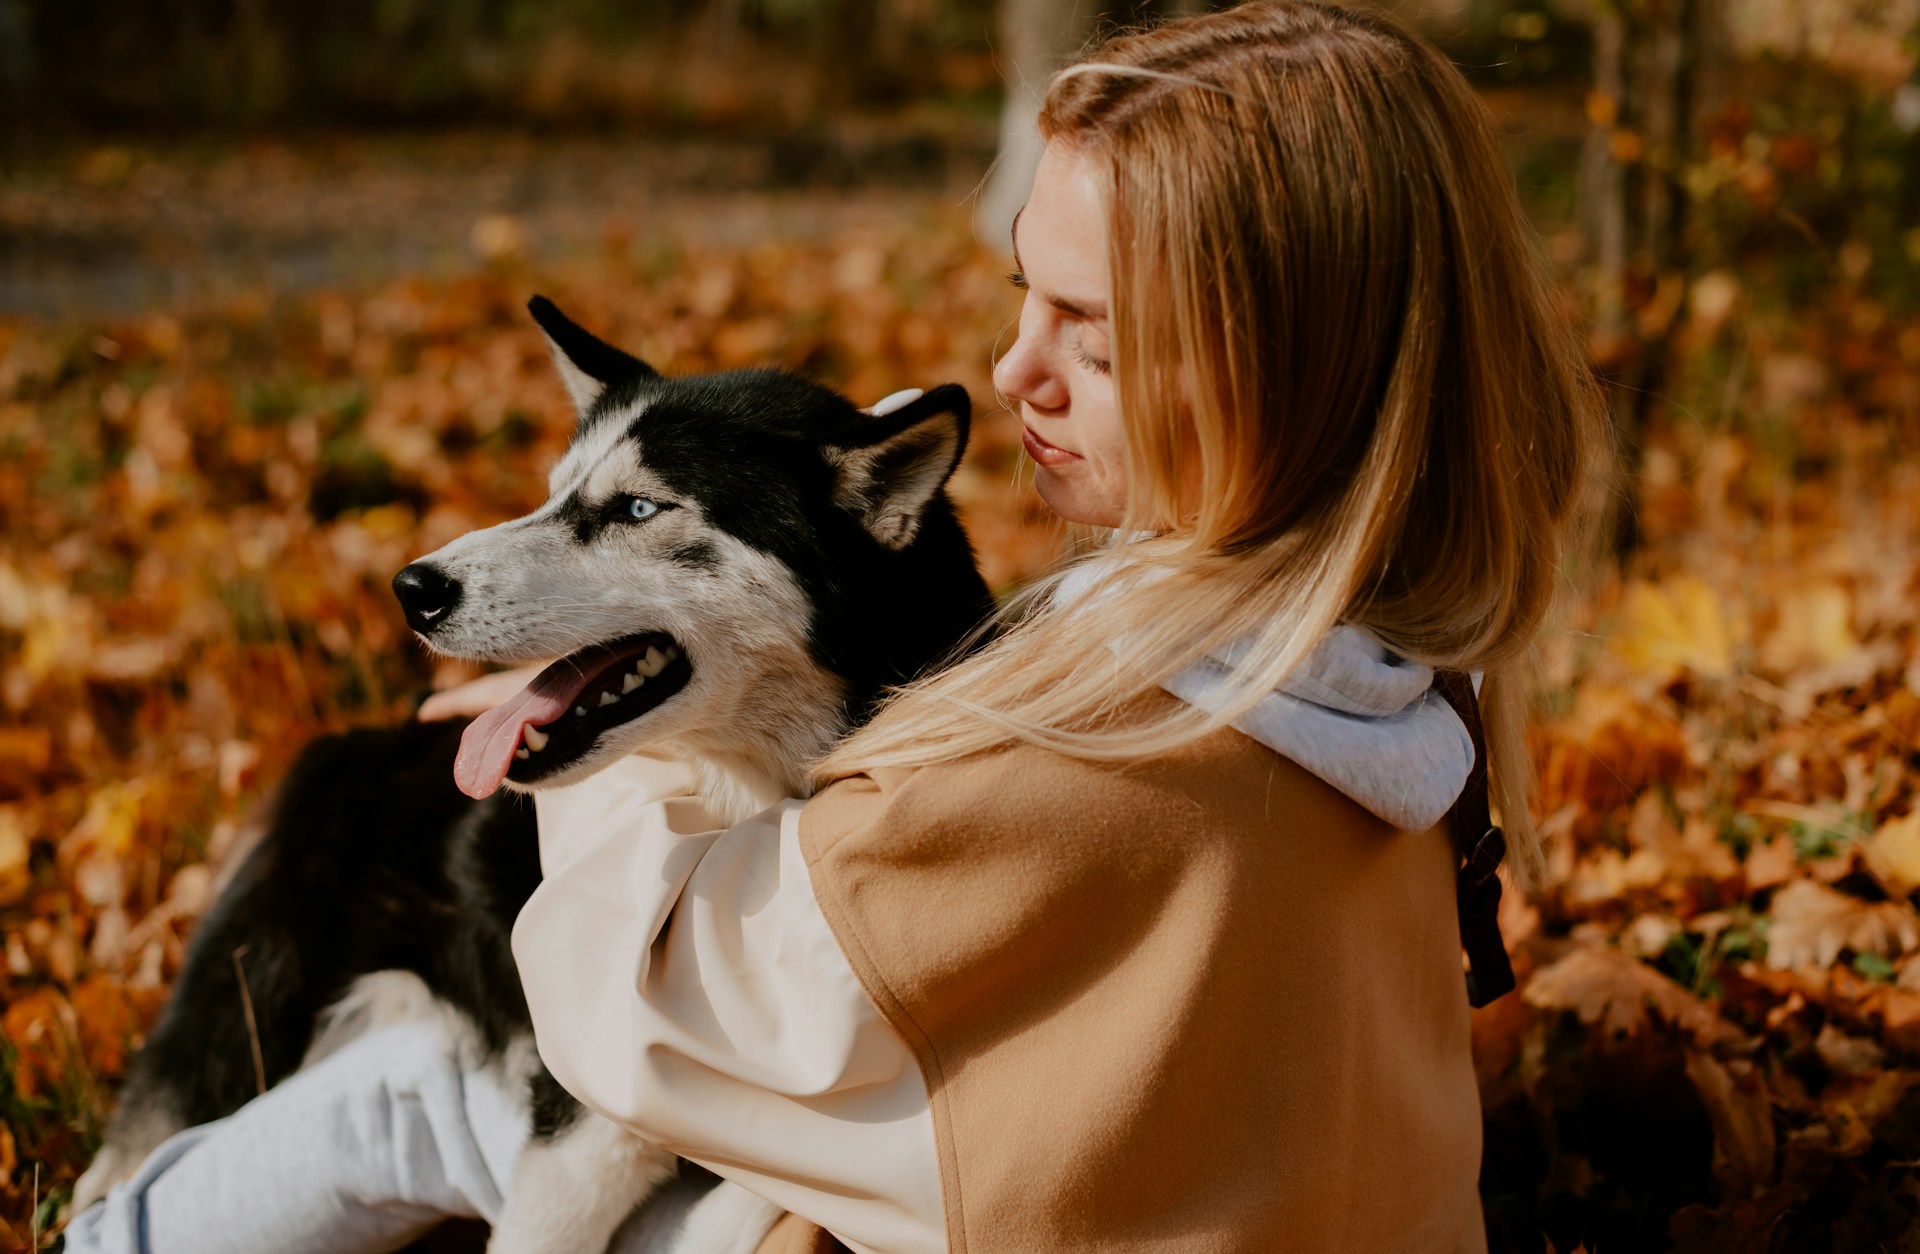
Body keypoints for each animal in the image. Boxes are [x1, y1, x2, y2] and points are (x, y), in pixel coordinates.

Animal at [78, 297, 990, 1244]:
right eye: (553, 493)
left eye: (637, 507)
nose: (412, 588)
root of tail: (352, 743)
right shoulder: (577, 1140)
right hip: (236, 1021)